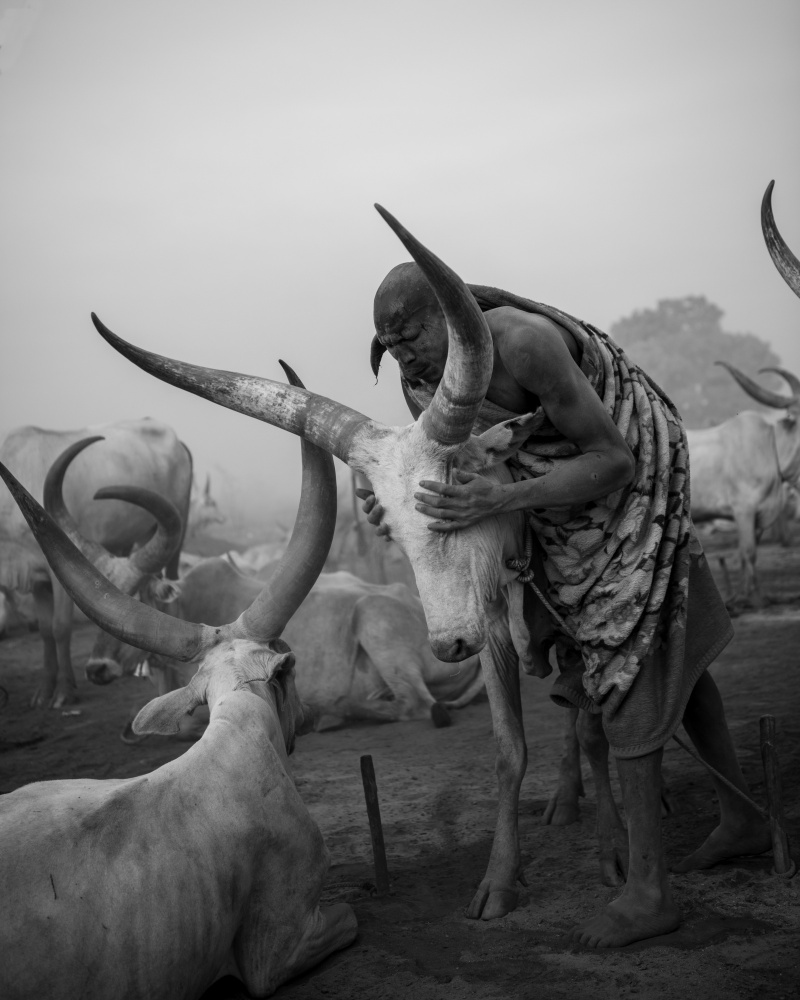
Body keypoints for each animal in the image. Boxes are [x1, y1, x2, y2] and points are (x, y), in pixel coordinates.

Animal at [0, 419, 192, 707]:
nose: (97, 669)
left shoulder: (56, 575)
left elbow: (60, 628)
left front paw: (64, 691)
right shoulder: (37, 580)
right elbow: (45, 631)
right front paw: (44, 691)